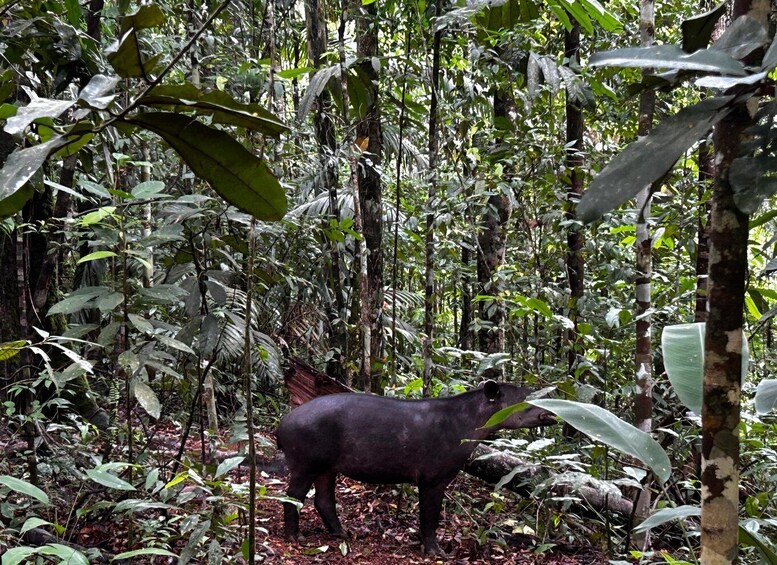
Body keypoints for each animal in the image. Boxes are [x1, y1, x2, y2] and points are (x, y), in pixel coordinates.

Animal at [276, 380, 555, 555]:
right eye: (525, 401)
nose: (553, 409)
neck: (470, 420)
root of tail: (283, 423)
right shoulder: (433, 475)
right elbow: (429, 515)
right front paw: (435, 551)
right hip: (306, 458)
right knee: (293, 495)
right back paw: (294, 537)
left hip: (327, 464)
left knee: (323, 498)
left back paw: (341, 534)